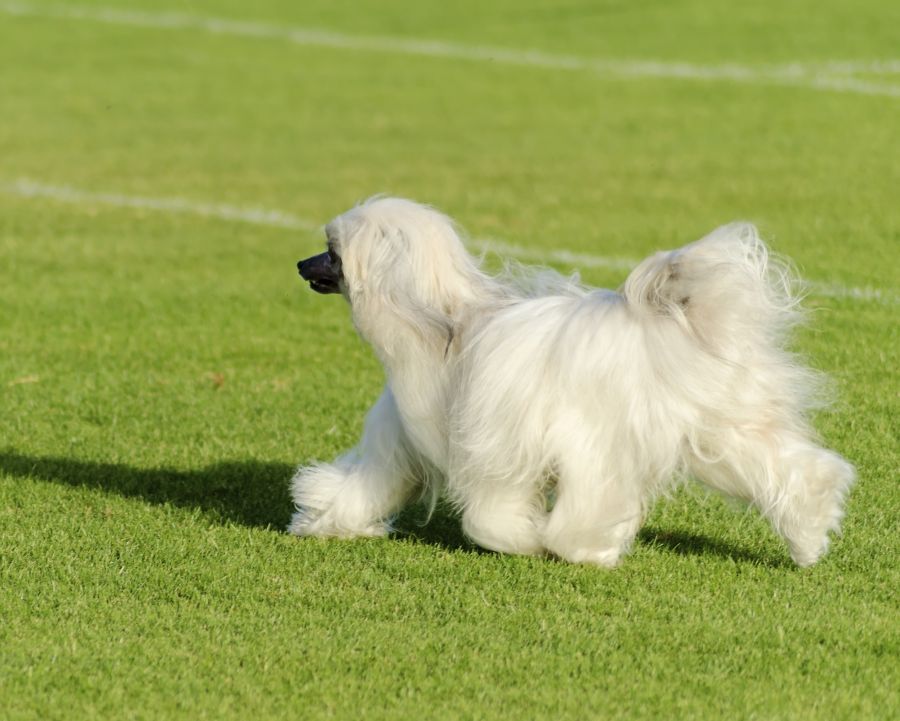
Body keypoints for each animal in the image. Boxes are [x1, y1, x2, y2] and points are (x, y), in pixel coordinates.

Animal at [288, 198, 852, 568]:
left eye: (332, 250)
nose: (298, 263)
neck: (443, 325)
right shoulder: (401, 439)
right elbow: (368, 480)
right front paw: (327, 521)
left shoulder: (495, 447)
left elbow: (490, 513)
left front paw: (523, 539)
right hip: (726, 430)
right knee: (791, 469)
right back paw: (810, 536)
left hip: (608, 438)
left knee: (597, 498)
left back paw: (584, 547)